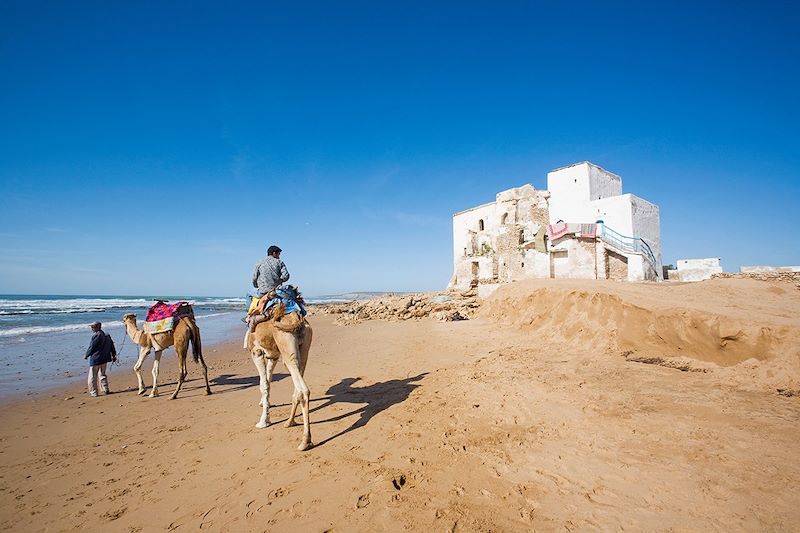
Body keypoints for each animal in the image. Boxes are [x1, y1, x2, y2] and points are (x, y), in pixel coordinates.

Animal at [245, 312, 314, 448]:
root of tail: (297, 319)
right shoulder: (273, 356)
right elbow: (268, 381)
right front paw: (263, 404)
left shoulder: (256, 352)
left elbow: (263, 384)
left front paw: (263, 422)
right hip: (304, 349)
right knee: (297, 386)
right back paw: (289, 422)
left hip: (286, 346)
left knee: (303, 390)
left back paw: (305, 441)